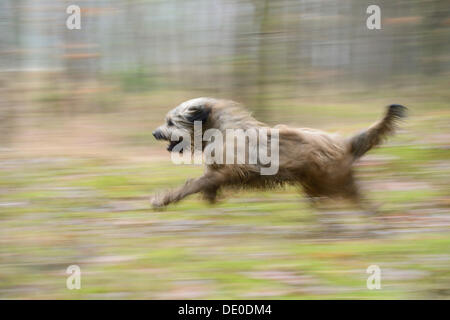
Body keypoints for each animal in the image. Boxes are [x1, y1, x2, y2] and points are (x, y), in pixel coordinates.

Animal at [151, 97, 408, 210]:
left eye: (171, 122)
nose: (154, 133)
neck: (221, 129)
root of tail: (343, 143)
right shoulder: (217, 172)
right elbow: (205, 184)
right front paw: (210, 202)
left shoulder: (229, 171)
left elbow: (195, 183)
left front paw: (164, 198)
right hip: (317, 185)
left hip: (334, 182)